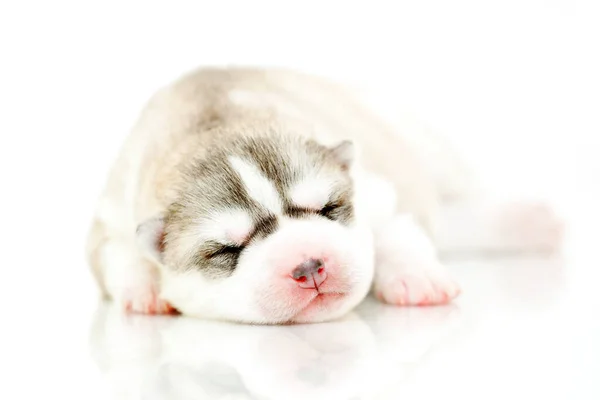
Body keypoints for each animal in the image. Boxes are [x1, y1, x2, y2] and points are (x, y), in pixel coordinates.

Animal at [84, 67, 564, 324]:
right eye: (228, 249)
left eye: (328, 209)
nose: (309, 265)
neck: (220, 127)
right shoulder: (111, 215)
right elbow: (118, 251)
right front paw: (143, 289)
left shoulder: (376, 190)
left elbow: (396, 231)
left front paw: (416, 276)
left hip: (426, 148)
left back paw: (530, 222)